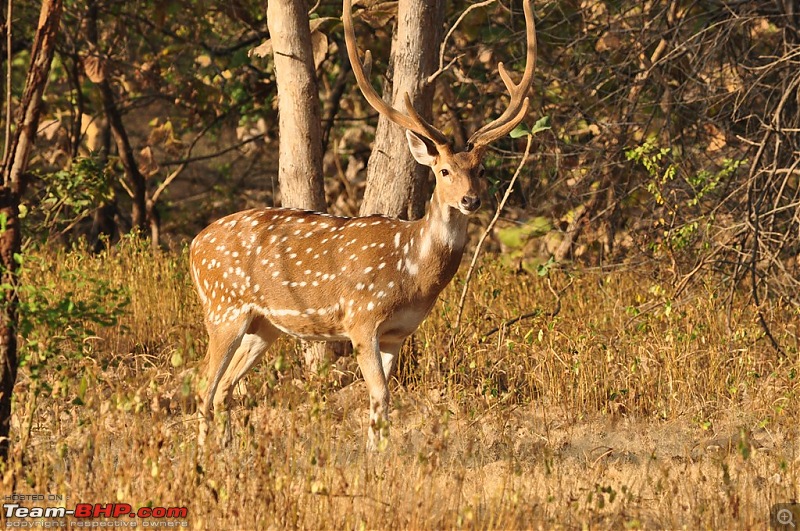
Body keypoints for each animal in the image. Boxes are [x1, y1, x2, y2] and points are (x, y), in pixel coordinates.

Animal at [189, 0, 536, 450]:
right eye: (443, 171)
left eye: (481, 170)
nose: (470, 200)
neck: (412, 274)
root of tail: (193, 245)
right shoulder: (361, 318)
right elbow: (381, 394)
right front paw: (376, 454)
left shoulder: (397, 333)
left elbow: (380, 399)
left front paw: (377, 452)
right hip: (223, 307)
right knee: (203, 383)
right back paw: (203, 453)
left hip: (263, 324)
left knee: (225, 387)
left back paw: (228, 449)